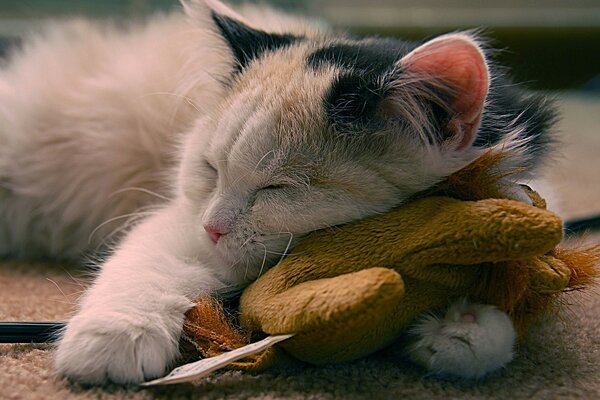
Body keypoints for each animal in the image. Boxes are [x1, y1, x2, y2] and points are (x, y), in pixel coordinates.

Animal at [0, 0, 556, 384]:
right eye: (210, 169)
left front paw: (466, 325)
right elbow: (144, 268)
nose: (213, 227)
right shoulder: (177, 222)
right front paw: (114, 338)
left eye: (278, 188)